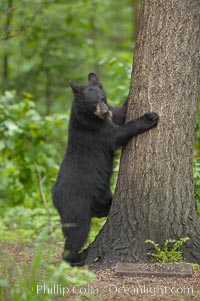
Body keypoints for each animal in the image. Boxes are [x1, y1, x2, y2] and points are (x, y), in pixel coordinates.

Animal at [52, 72, 159, 264]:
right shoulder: (96, 132)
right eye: (92, 102)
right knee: (77, 231)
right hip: (75, 203)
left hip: (100, 196)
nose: (104, 111)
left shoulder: (111, 115)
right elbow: (117, 135)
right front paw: (148, 118)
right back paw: (76, 258)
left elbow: (121, 112)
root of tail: (54, 198)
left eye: (104, 98)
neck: (92, 119)